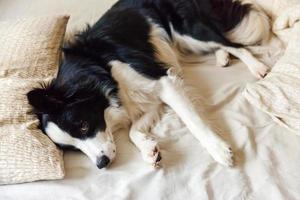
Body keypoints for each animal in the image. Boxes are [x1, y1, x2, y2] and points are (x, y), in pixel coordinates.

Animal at [27, 0, 270, 169]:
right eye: (72, 149)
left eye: (84, 126)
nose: (101, 164)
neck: (97, 70)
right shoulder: (145, 101)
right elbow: (133, 131)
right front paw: (149, 150)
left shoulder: (163, 82)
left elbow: (193, 121)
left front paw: (218, 149)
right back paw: (222, 58)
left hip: (189, 32)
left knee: (234, 44)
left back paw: (257, 66)